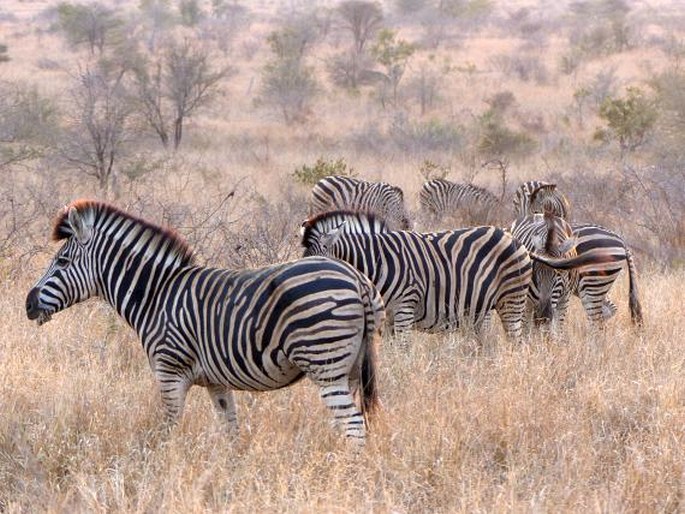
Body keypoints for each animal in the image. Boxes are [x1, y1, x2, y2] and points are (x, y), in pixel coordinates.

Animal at [25, 199, 384, 440]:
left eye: (62, 261)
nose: (28, 303)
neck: (156, 295)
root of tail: (356, 278)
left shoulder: (168, 372)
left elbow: (167, 431)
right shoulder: (217, 382)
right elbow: (230, 432)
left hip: (325, 364)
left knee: (353, 425)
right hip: (351, 369)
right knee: (355, 421)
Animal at [302, 210, 532, 338]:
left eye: (319, 265)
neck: (376, 264)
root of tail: (508, 233)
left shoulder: (404, 309)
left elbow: (402, 353)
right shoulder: (387, 319)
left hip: (512, 300)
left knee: (516, 342)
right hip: (479, 309)